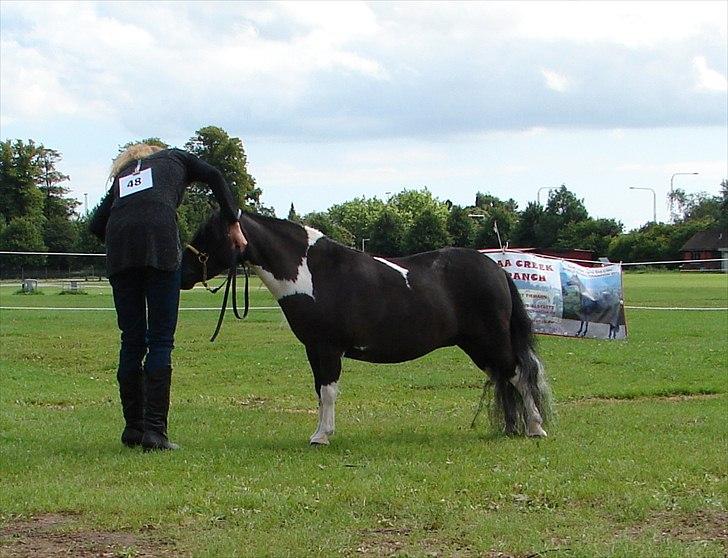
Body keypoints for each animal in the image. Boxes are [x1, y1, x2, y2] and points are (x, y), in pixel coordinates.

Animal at [182, 213, 552, 446]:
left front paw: (321, 437)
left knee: (518, 375)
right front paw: (321, 432)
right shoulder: (315, 350)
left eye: (209, 234)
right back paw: (512, 428)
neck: (312, 274)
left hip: (491, 341)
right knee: (505, 378)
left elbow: (328, 392)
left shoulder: (326, 348)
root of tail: (497, 269)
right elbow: (320, 392)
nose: (183, 273)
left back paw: (535, 429)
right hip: (478, 346)